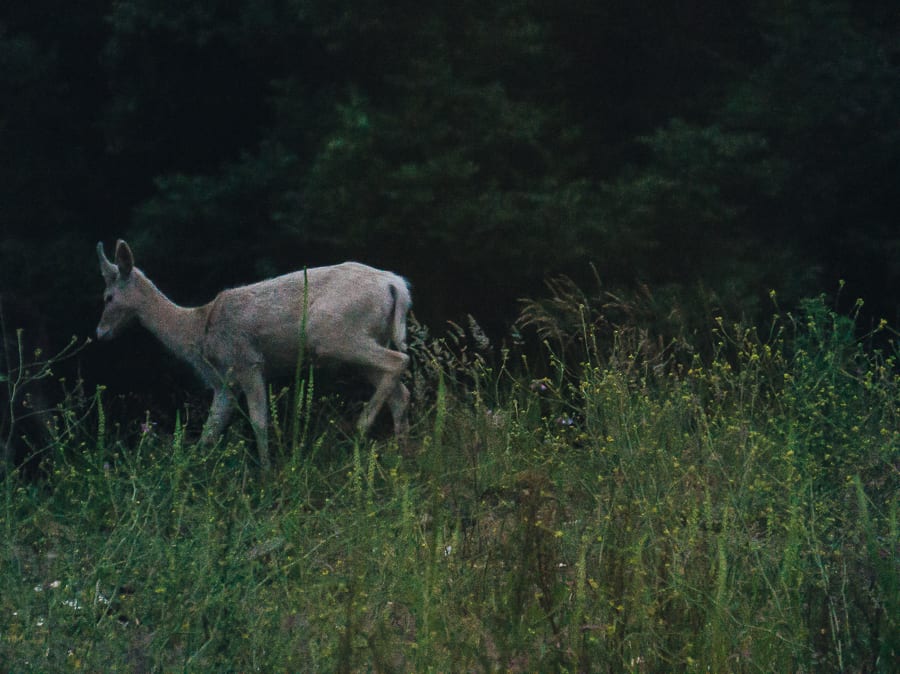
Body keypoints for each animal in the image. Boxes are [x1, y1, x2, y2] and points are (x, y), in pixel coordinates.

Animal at [95, 239, 412, 470]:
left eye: (108, 297)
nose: (100, 333)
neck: (197, 330)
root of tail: (396, 285)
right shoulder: (224, 384)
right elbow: (210, 430)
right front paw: (189, 472)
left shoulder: (247, 362)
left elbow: (259, 421)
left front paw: (267, 474)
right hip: (365, 340)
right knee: (400, 391)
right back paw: (402, 453)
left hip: (334, 335)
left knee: (400, 361)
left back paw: (361, 427)